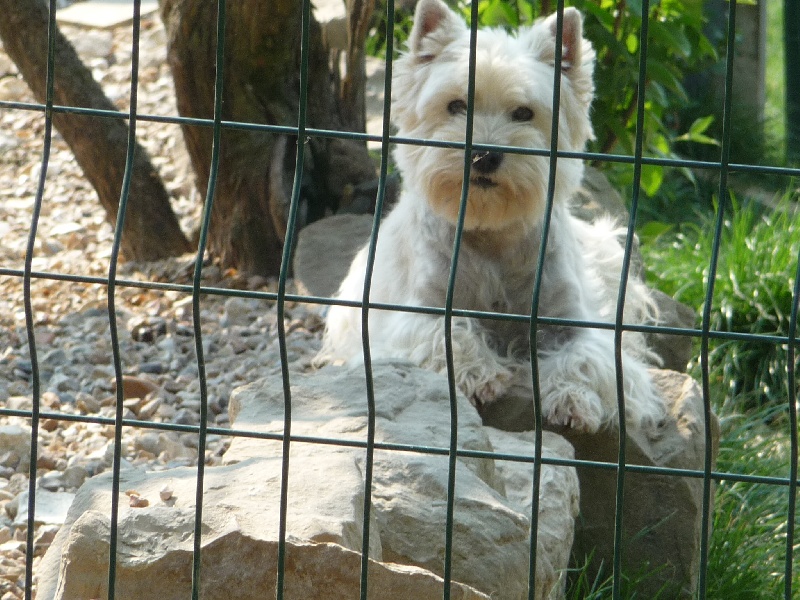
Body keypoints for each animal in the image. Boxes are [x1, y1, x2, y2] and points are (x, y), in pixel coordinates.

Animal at [316, 0, 664, 432]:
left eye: (524, 113)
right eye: (455, 106)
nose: (484, 154)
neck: (490, 233)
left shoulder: (577, 320)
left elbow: (586, 358)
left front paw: (573, 400)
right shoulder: (416, 314)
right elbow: (449, 333)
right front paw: (479, 375)